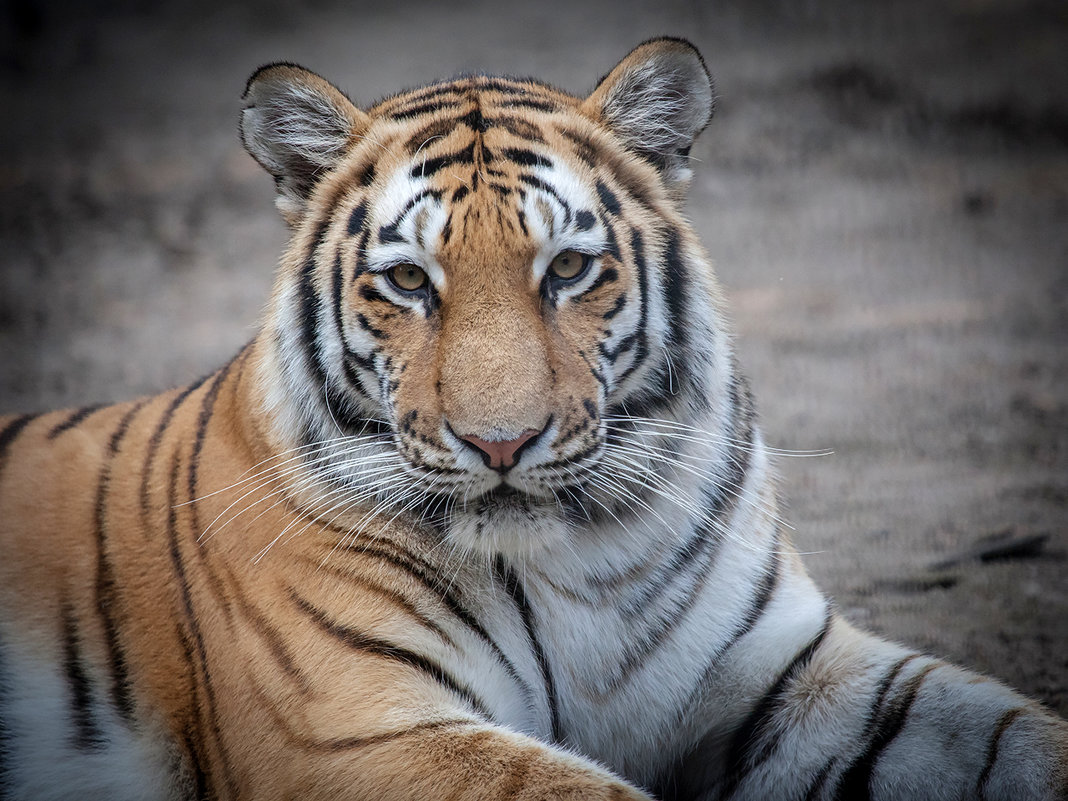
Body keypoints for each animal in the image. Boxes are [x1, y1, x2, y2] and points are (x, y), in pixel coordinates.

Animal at [2, 36, 1068, 801]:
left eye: (568, 269)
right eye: (408, 281)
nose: (501, 443)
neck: (569, 568)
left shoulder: (791, 675)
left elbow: (1008, 732)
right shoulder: (356, 729)